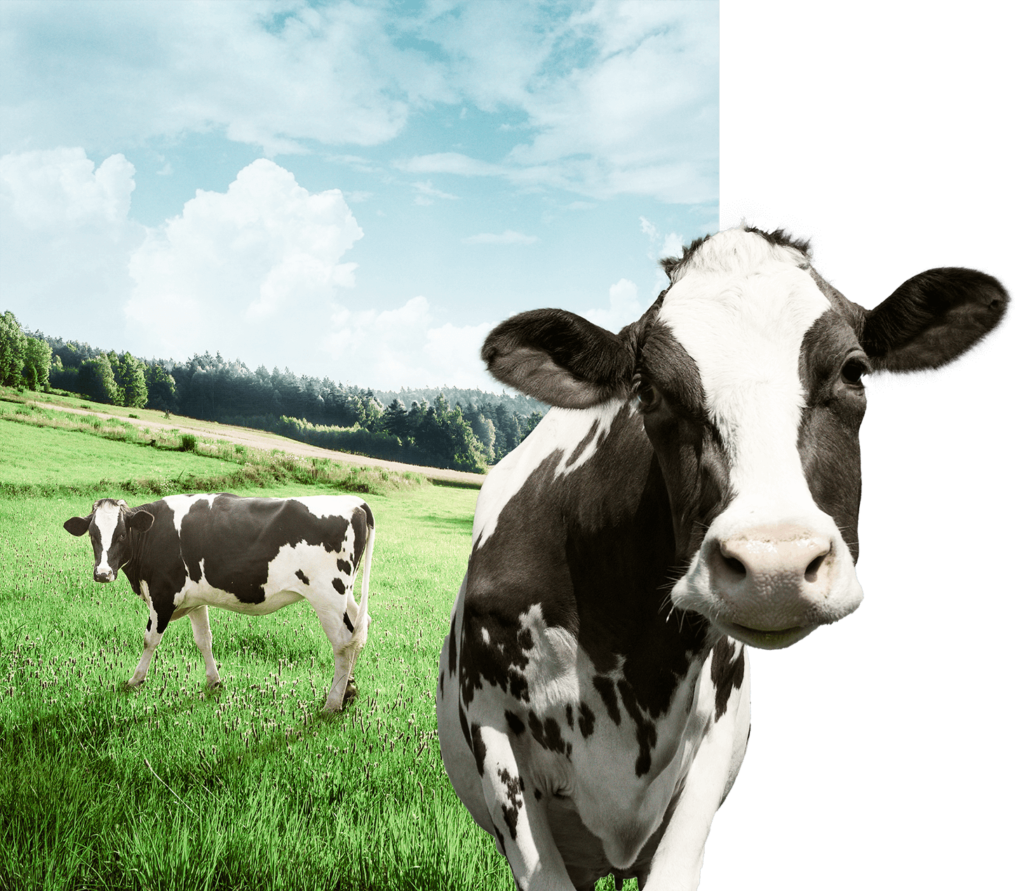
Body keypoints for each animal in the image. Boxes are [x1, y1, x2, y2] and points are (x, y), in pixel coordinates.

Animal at [64, 493, 374, 711]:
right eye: (92, 535)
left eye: (121, 534)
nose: (103, 573)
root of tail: (354, 502)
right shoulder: (195, 599)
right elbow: (204, 639)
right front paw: (214, 682)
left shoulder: (163, 596)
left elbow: (149, 640)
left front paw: (135, 680)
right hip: (345, 597)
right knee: (359, 632)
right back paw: (349, 691)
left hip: (327, 597)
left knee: (343, 644)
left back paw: (332, 703)